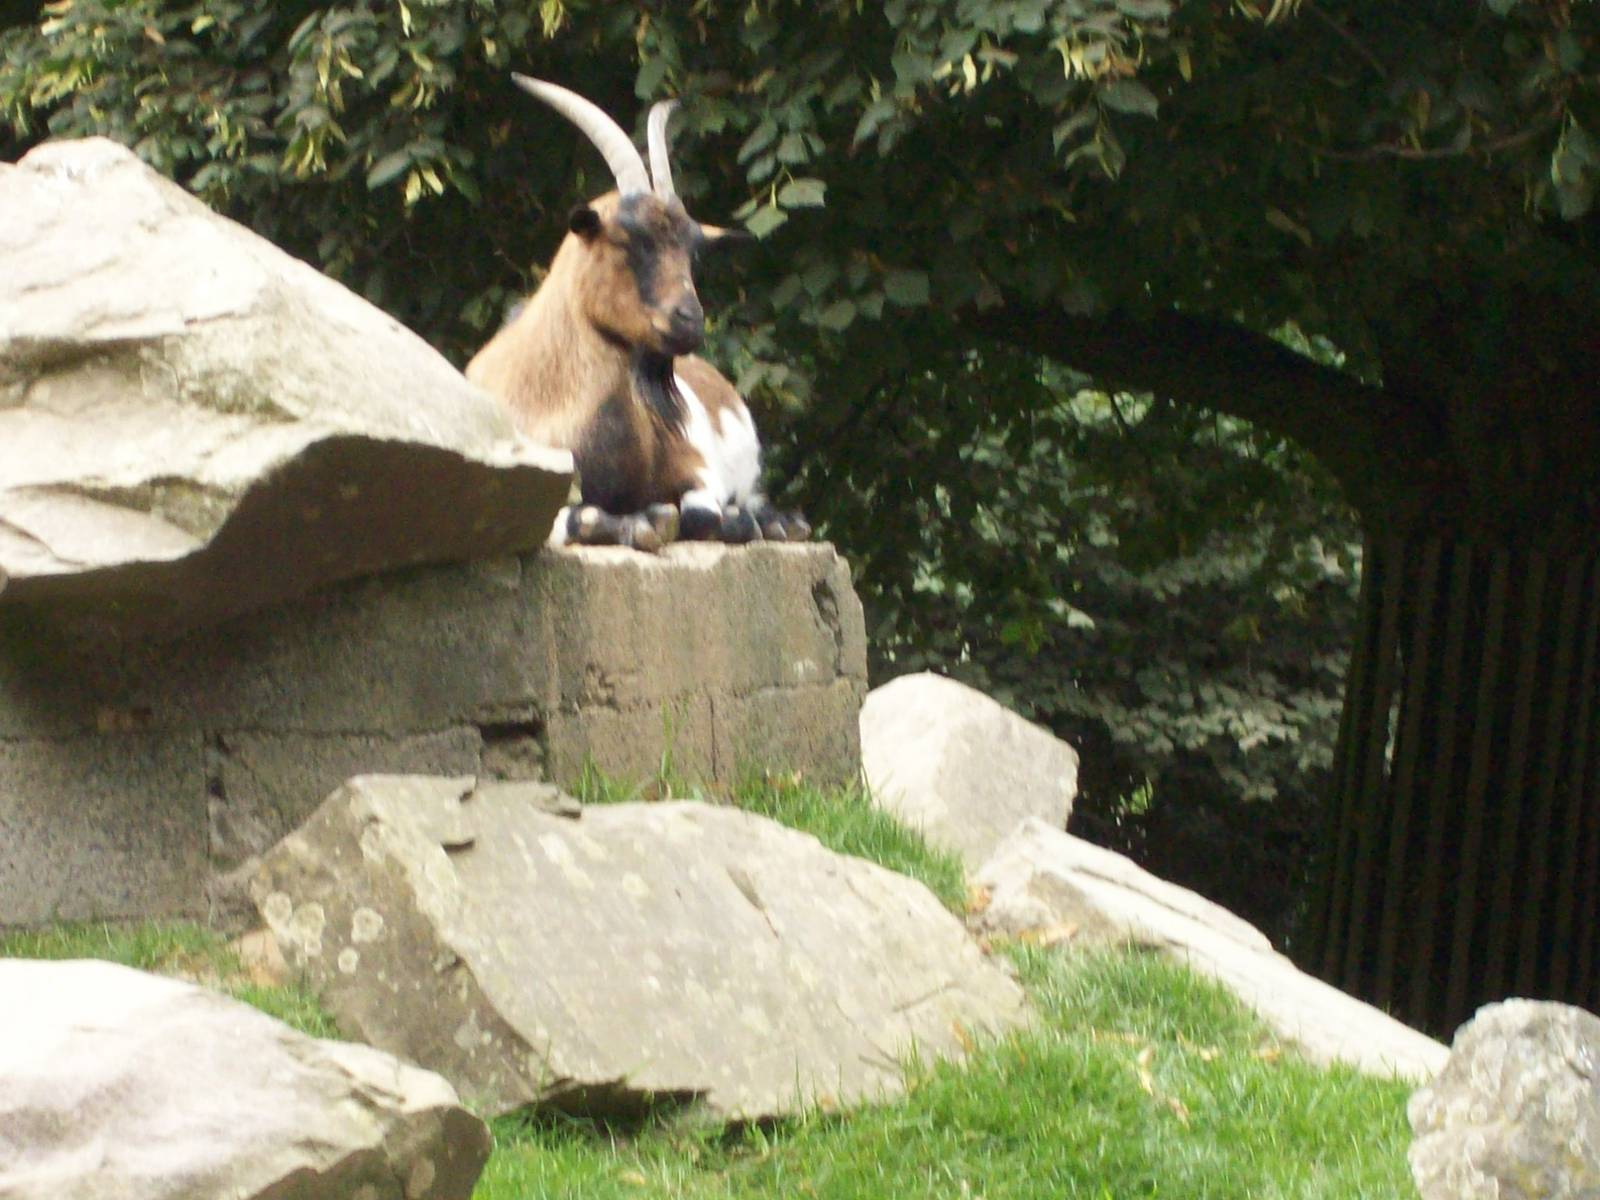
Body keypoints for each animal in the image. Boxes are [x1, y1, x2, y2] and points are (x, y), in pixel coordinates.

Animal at [466, 76, 808, 551]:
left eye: (692, 250)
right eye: (627, 240)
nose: (689, 320)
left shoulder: (695, 464)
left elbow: (702, 515)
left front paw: (735, 522)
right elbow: (577, 518)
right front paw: (645, 523)